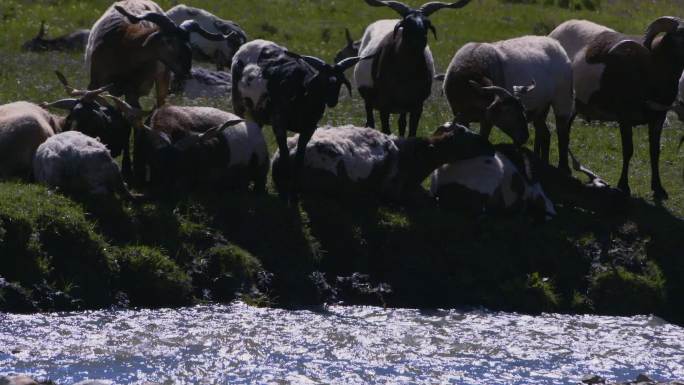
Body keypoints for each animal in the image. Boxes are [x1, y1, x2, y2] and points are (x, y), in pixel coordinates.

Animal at [356, 0, 472, 137]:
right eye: (406, 23)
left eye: (427, 24)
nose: (418, 40)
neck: (405, 74)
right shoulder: (385, 104)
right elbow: (386, 130)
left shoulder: (417, 105)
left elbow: (411, 131)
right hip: (369, 99)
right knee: (370, 122)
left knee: (401, 123)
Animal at [440, 36, 576, 171]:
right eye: (507, 110)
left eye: (521, 109)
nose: (524, 137)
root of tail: (555, 43)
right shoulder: (461, 116)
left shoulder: (486, 120)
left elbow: (483, 139)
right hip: (541, 108)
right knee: (545, 134)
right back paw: (543, 163)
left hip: (562, 99)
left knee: (563, 135)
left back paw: (563, 168)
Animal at [548, 16, 684, 200]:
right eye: (680, 34)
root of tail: (557, 30)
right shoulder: (624, 117)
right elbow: (628, 150)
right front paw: (624, 186)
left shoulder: (658, 118)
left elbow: (655, 152)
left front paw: (659, 189)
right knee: (562, 131)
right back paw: (564, 168)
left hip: (574, 106)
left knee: (564, 132)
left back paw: (565, 168)